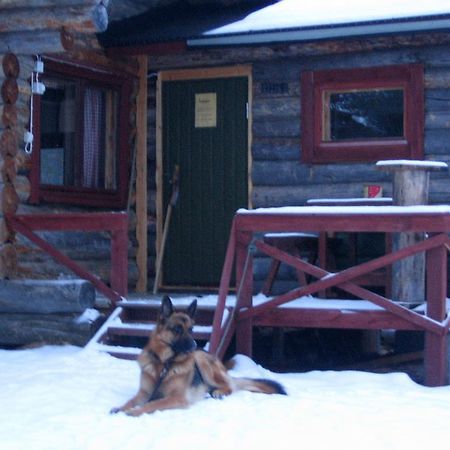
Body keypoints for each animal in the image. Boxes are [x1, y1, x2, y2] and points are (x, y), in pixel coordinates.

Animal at [110, 298, 284, 416]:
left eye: (191, 329)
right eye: (177, 329)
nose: (194, 345)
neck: (164, 363)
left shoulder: (177, 398)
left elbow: (152, 405)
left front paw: (134, 411)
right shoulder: (144, 393)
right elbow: (131, 401)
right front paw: (120, 408)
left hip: (202, 360)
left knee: (229, 387)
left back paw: (218, 392)